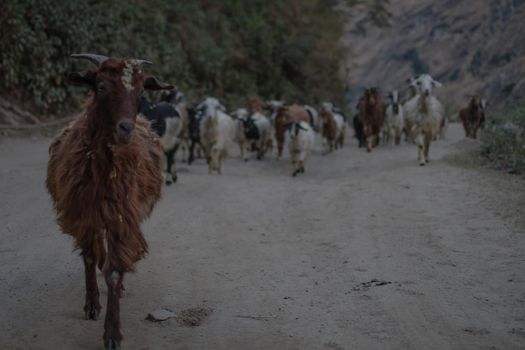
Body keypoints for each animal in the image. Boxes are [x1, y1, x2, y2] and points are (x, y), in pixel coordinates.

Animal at [46, 52, 173, 350]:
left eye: (140, 92)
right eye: (101, 86)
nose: (125, 128)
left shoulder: (121, 216)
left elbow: (115, 271)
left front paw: (113, 333)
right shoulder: (85, 214)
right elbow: (90, 258)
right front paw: (92, 305)